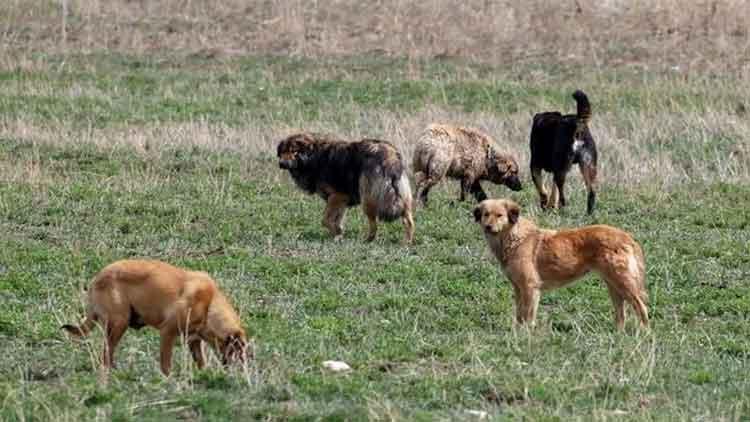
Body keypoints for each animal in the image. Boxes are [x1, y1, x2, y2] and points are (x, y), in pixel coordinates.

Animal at [62, 258, 250, 374]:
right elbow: (166, 365)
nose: (244, 370)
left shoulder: (193, 341)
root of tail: (97, 278)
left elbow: (200, 363)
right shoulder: (167, 333)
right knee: (106, 354)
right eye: (240, 351)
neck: (209, 304)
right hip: (119, 323)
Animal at [280, 132, 418, 244]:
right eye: (282, 152)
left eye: (294, 152)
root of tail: (390, 155)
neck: (313, 156)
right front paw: (338, 235)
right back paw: (407, 242)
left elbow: (326, 220)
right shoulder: (341, 201)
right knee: (408, 221)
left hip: (368, 200)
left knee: (374, 224)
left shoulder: (337, 196)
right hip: (403, 198)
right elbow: (336, 220)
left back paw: (368, 240)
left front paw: (337, 234)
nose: (281, 164)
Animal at [478, 199, 648, 330]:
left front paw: (526, 333)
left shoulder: (530, 287)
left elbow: (527, 314)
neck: (514, 237)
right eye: (486, 214)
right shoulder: (518, 288)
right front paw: (518, 332)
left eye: (500, 215)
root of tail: (627, 237)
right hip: (614, 286)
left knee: (642, 307)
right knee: (621, 314)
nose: (487, 227)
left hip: (623, 283)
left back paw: (643, 332)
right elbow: (519, 314)